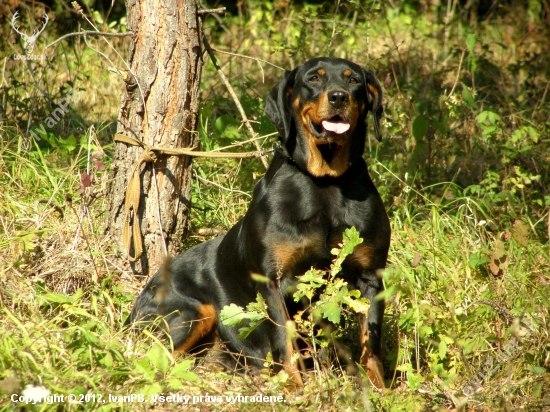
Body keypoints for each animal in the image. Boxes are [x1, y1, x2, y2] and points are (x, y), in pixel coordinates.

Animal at [126, 56, 390, 388]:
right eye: (313, 79)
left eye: (353, 80)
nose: (339, 97)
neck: (326, 182)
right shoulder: (273, 279)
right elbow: (283, 340)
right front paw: (294, 388)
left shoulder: (371, 276)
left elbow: (372, 343)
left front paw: (379, 389)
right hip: (194, 311)